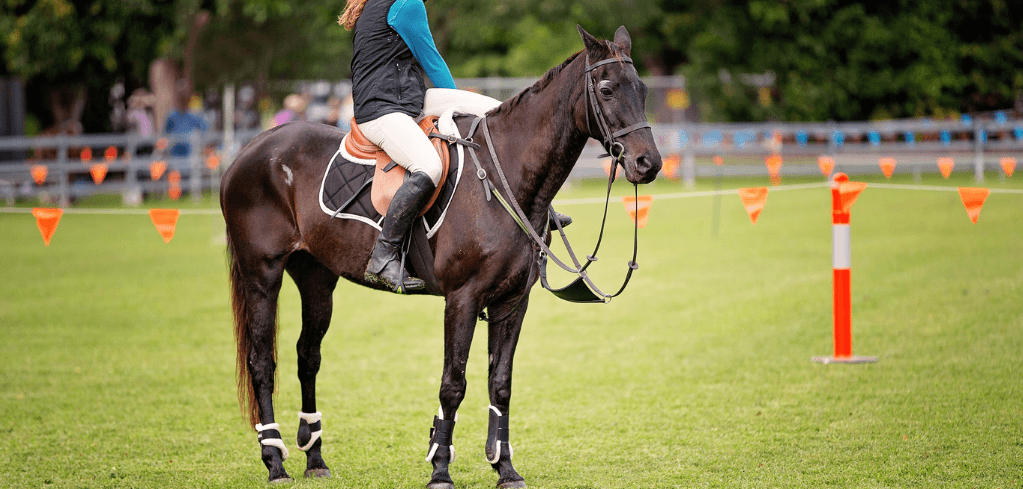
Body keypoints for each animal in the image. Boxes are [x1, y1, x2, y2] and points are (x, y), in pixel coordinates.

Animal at [220, 25, 662, 487]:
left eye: (642, 89)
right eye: (607, 89)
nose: (648, 163)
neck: (506, 177)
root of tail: (251, 148)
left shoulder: (512, 302)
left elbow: (500, 384)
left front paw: (505, 467)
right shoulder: (462, 299)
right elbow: (453, 383)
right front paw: (440, 468)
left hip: (317, 278)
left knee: (308, 356)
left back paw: (315, 458)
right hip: (262, 275)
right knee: (260, 362)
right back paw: (275, 461)